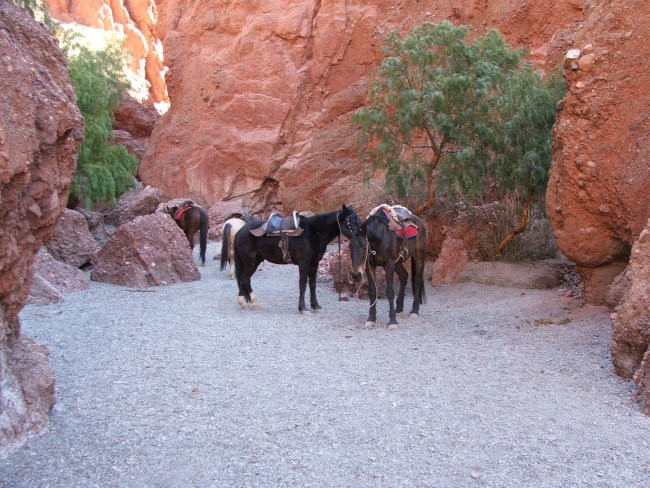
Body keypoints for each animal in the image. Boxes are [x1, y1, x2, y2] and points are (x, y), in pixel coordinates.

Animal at [228, 203, 360, 312]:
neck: (313, 232)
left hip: (254, 261)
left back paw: (245, 301)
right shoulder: (304, 262)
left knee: (242, 279)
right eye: (352, 221)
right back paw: (253, 302)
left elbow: (312, 284)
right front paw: (303, 308)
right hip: (249, 260)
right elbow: (303, 284)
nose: (360, 235)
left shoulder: (314, 263)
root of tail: (240, 231)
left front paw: (315, 306)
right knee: (245, 278)